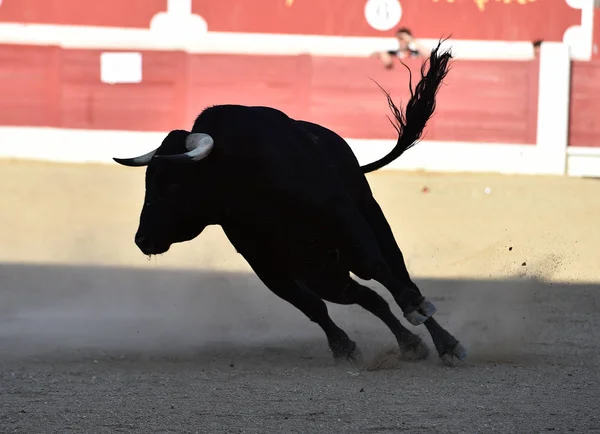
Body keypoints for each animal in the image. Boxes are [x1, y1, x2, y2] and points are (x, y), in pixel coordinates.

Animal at [113, 41, 468, 366]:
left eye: (173, 184)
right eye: (148, 182)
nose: (142, 240)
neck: (244, 176)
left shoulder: (345, 220)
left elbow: (378, 269)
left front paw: (423, 319)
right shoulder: (267, 263)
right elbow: (312, 307)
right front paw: (343, 347)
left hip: (369, 221)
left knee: (397, 274)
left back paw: (443, 340)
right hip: (323, 272)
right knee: (364, 296)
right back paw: (410, 344)